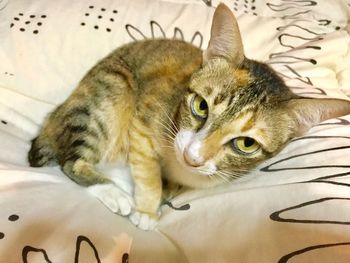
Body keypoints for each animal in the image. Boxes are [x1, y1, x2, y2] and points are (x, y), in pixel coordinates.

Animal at [26, 4, 350, 231]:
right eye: (201, 106)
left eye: (246, 144)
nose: (193, 157)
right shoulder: (144, 120)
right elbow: (146, 168)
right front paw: (147, 209)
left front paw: (163, 193)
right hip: (110, 91)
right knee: (73, 159)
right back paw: (112, 190)